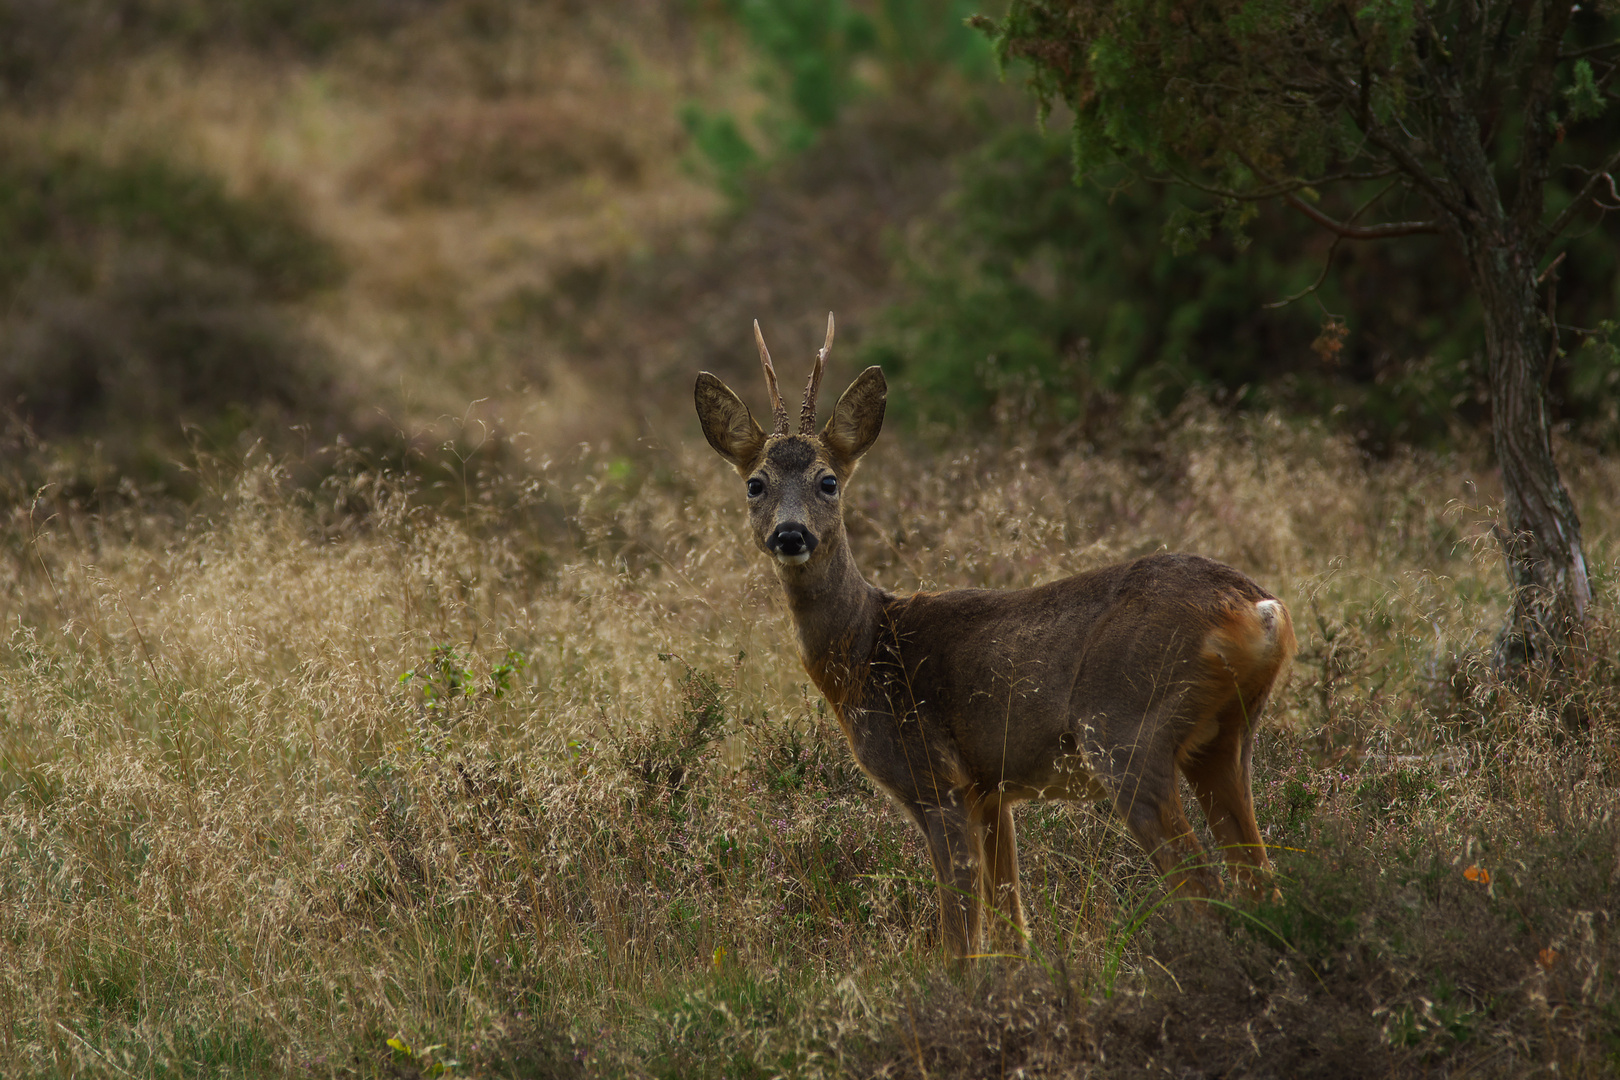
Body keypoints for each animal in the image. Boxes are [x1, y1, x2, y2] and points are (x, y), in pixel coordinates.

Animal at [690, 314, 1296, 965]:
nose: (790, 534)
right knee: (1260, 884)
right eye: (755, 484)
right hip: (1225, 739)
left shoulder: (938, 780)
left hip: (1126, 733)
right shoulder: (991, 791)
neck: (868, 650)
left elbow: (962, 940)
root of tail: (1258, 608)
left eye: (828, 481)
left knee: (1208, 890)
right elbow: (1013, 931)